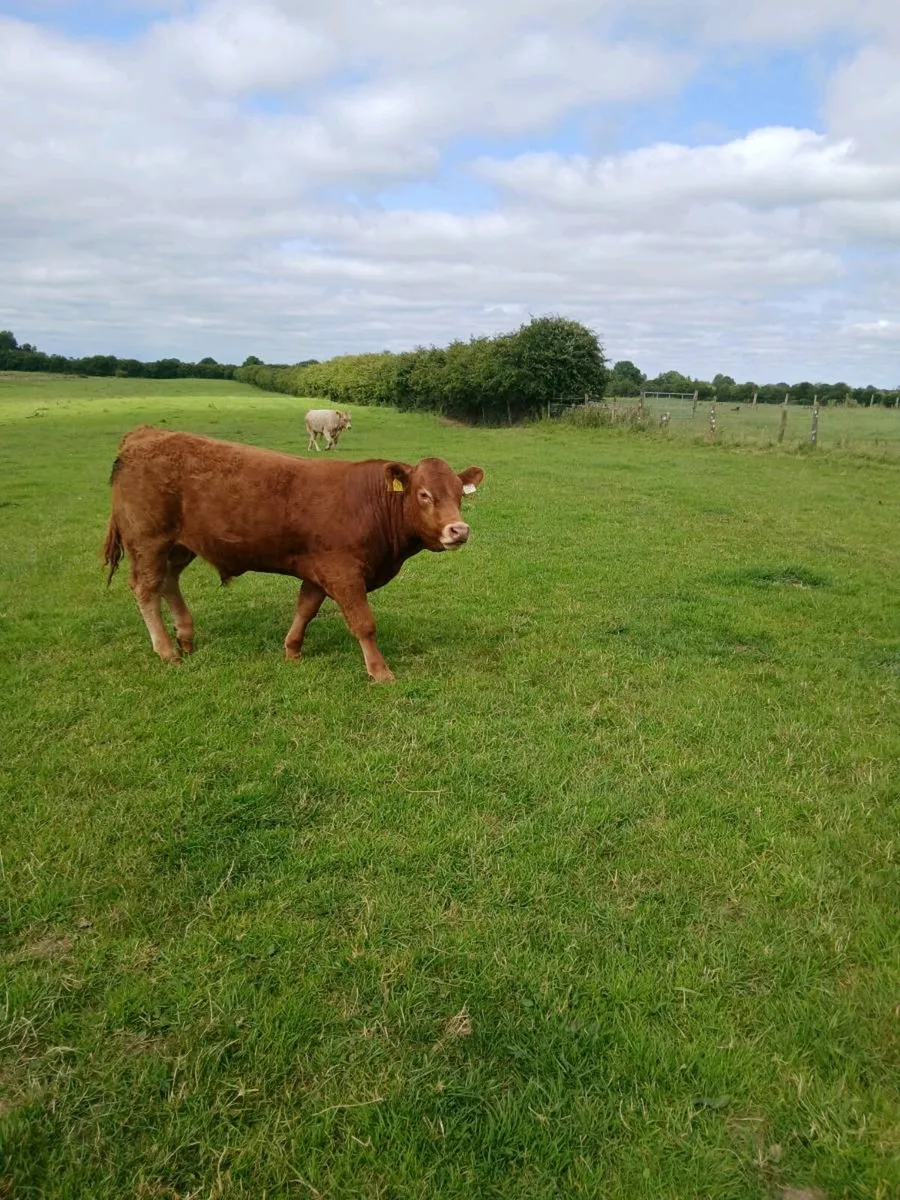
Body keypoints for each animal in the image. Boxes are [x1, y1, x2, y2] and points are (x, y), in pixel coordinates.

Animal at [102, 426, 484, 683]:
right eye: (424, 494)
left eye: (459, 494)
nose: (459, 530)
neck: (370, 503)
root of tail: (144, 434)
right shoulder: (344, 573)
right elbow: (364, 623)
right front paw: (380, 671)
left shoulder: (319, 571)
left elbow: (305, 609)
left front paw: (292, 650)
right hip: (149, 540)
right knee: (147, 588)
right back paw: (167, 651)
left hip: (180, 546)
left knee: (169, 581)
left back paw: (185, 637)